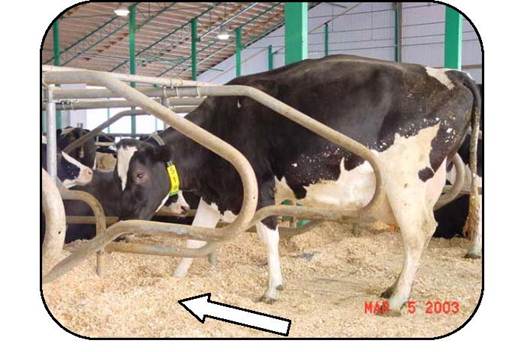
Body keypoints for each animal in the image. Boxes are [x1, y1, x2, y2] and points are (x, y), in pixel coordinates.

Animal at [113, 55, 478, 314]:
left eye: (140, 174)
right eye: (117, 174)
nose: (123, 218)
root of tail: (451, 74)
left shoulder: (258, 187)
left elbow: (269, 237)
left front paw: (272, 289)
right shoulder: (218, 192)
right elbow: (194, 237)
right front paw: (175, 279)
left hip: (405, 181)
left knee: (417, 233)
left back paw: (397, 300)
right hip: (424, 185)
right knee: (421, 232)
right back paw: (393, 288)